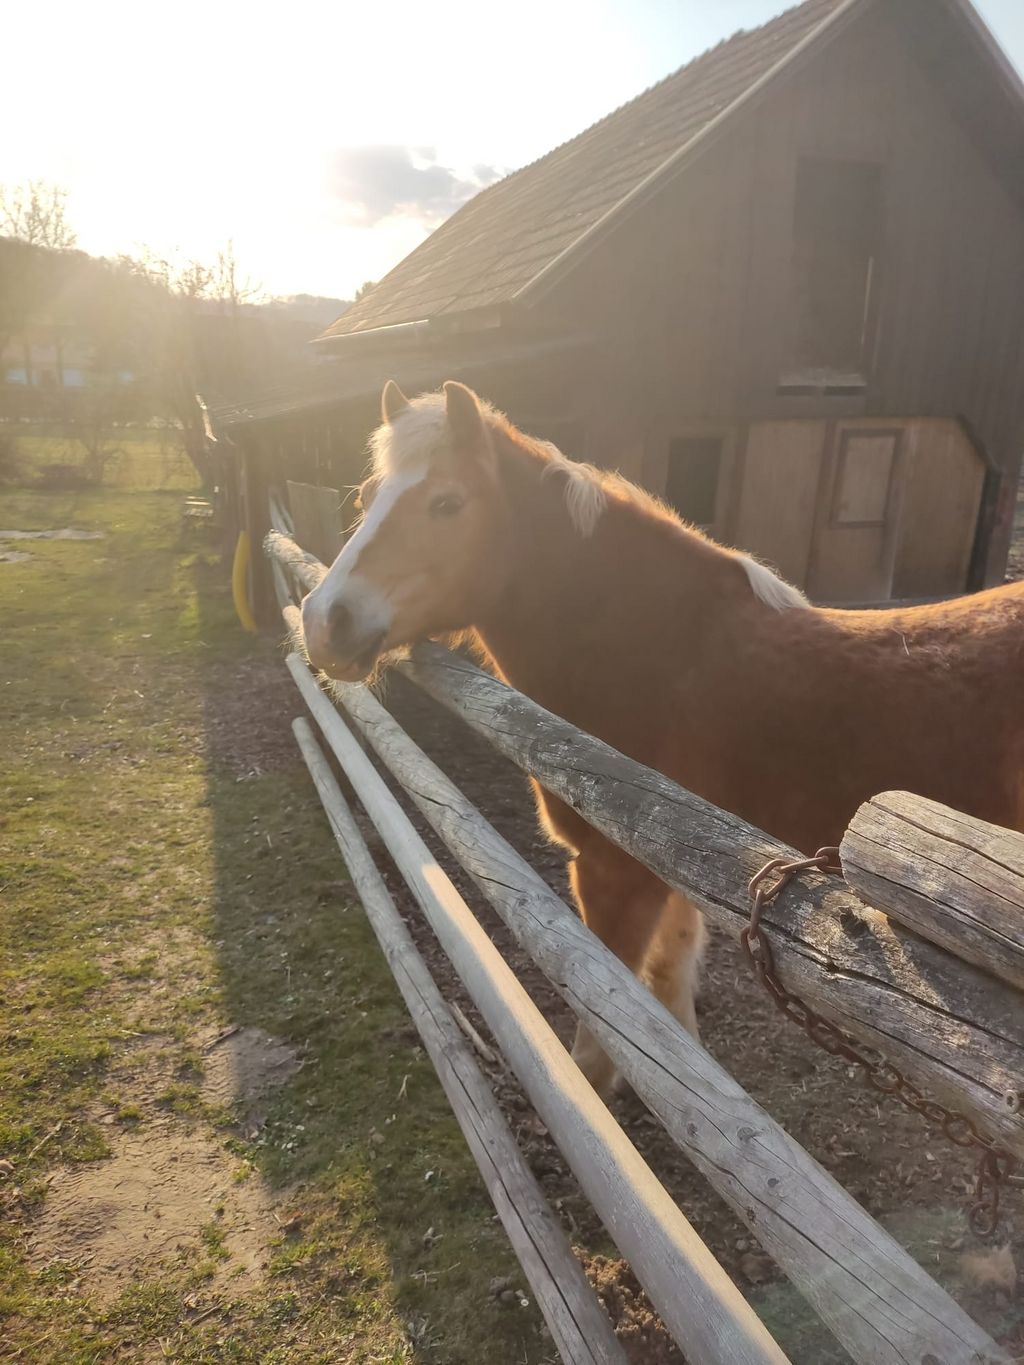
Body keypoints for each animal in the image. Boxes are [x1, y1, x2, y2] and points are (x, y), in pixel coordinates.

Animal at [303, 379, 1024, 1092]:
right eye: (367, 498)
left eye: (447, 503)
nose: (323, 620)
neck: (668, 657)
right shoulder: (673, 876)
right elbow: (672, 999)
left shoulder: (615, 874)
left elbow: (600, 1050)